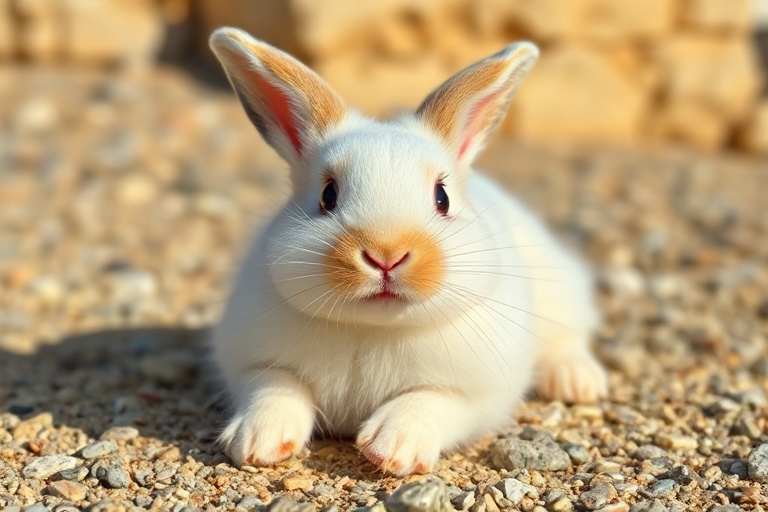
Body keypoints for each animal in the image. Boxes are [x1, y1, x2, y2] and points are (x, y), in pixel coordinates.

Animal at [208, 27, 607, 476]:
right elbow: (274, 387)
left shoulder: (477, 395)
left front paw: (390, 447)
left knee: (569, 336)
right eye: (328, 195)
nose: (386, 255)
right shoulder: (251, 364)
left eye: (442, 197)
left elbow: (429, 401)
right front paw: (256, 442)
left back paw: (578, 382)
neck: (373, 328)